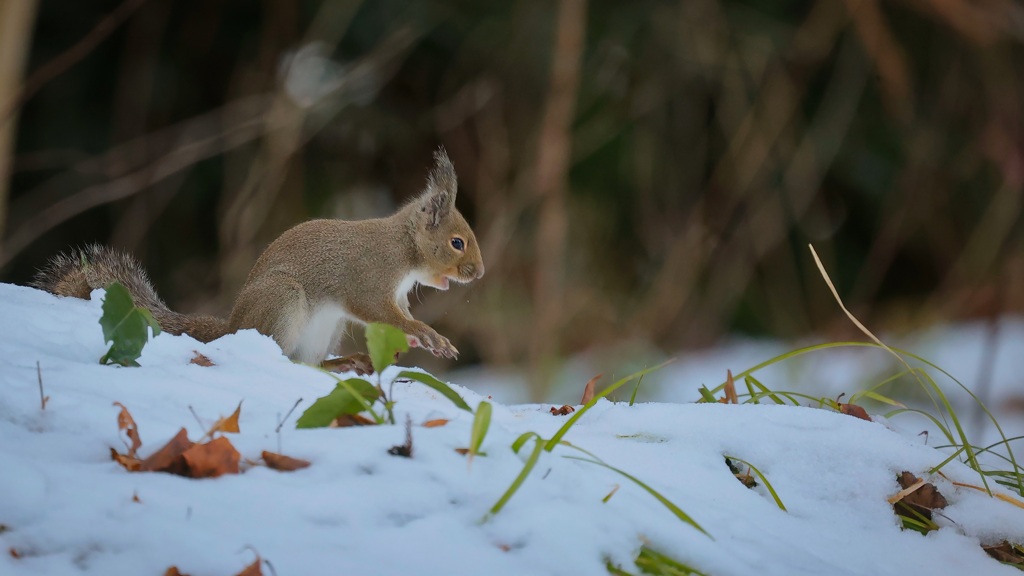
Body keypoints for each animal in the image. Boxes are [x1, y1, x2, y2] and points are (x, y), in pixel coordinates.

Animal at [28, 148, 483, 362]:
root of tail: (233, 327)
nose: (478, 273)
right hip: (283, 300)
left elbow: (397, 317)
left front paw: (422, 339)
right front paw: (427, 334)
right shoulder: (369, 279)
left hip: (324, 329)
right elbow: (379, 311)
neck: (403, 250)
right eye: (457, 242)